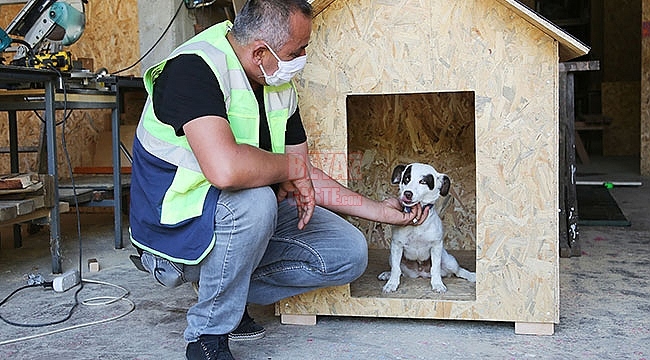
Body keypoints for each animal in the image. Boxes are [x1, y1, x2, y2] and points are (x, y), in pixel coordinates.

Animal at [378, 163, 474, 292]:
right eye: (406, 179)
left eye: (423, 181)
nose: (407, 193)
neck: (417, 225)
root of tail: (421, 273)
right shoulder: (396, 246)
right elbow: (396, 269)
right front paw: (391, 283)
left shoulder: (436, 246)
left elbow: (436, 268)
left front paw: (437, 284)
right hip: (391, 257)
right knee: (400, 271)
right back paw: (387, 274)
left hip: (449, 261)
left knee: (458, 271)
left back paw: (471, 276)